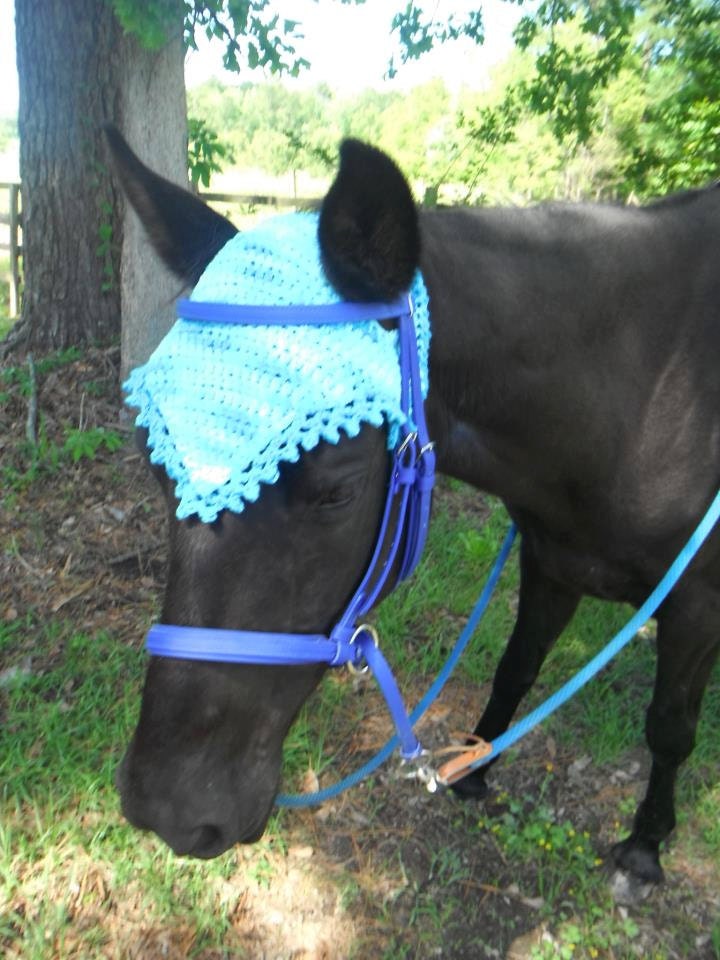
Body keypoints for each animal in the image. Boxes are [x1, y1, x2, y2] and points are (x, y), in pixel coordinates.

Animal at [106, 127, 720, 886]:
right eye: (154, 464)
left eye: (337, 490)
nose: (170, 806)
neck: (646, 389)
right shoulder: (553, 560)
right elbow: (516, 666)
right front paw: (475, 769)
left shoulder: (697, 602)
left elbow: (669, 727)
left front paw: (645, 844)